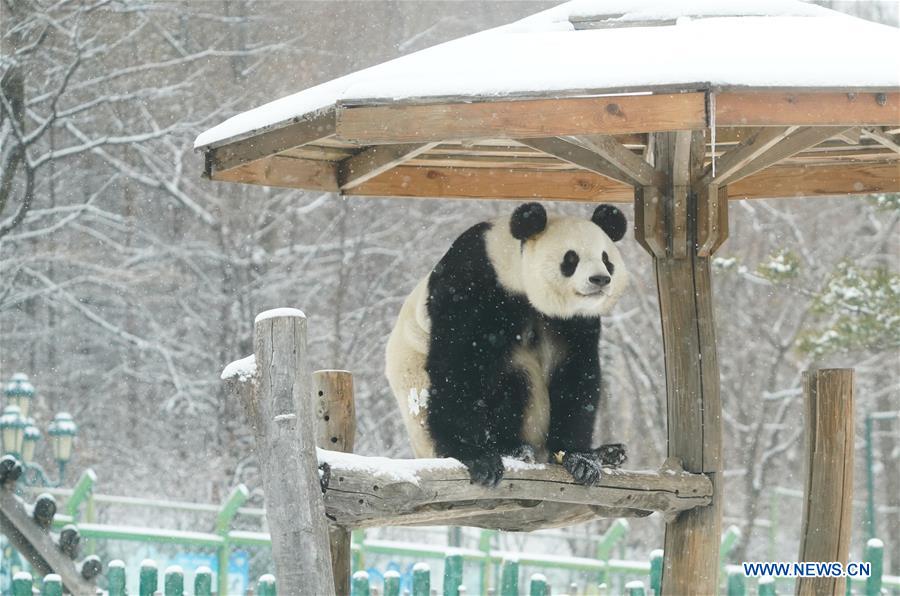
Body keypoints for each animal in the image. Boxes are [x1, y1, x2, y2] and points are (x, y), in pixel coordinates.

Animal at [384, 203, 628, 486]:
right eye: (571, 259)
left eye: (606, 259)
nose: (600, 279)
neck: (512, 267)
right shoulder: (472, 284)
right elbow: (458, 364)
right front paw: (477, 457)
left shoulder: (573, 322)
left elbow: (576, 374)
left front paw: (580, 459)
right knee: (513, 379)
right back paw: (512, 448)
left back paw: (610, 453)